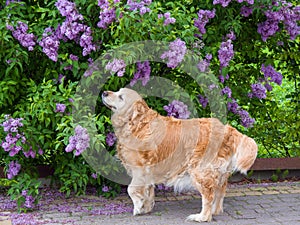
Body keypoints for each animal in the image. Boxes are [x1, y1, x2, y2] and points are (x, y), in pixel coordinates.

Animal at [102, 87, 256, 221]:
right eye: (117, 91)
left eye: (121, 97)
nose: (104, 92)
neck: (137, 123)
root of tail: (226, 129)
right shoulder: (149, 171)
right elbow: (148, 191)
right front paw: (146, 207)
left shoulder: (140, 169)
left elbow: (131, 189)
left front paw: (138, 207)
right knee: (219, 192)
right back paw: (215, 211)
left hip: (200, 171)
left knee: (208, 195)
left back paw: (201, 217)